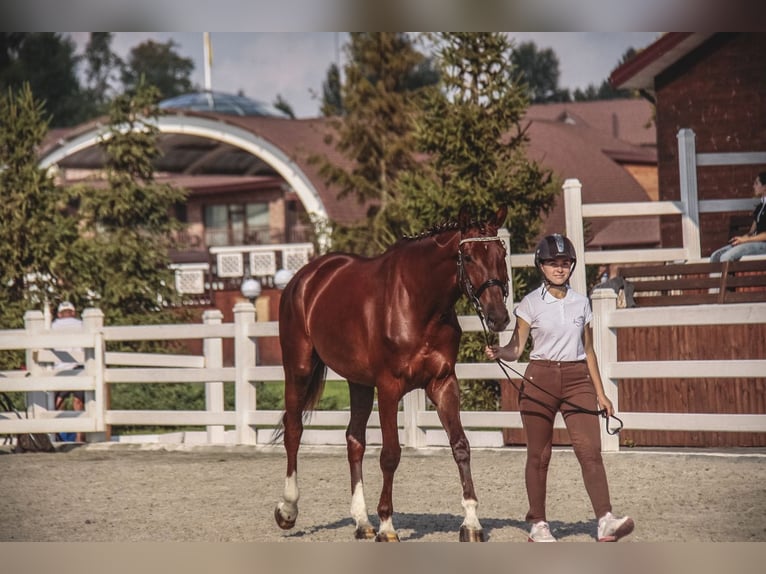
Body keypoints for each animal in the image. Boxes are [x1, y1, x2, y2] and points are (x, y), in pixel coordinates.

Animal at [272, 208, 512, 544]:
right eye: (468, 256)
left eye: (501, 253)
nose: (498, 316)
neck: (418, 302)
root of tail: (305, 278)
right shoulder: (388, 388)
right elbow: (390, 454)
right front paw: (387, 525)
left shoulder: (443, 383)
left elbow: (460, 446)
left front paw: (472, 523)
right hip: (299, 369)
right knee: (294, 431)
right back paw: (288, 510)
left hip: (358, 382)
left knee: (354, 440)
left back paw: (362, 522)